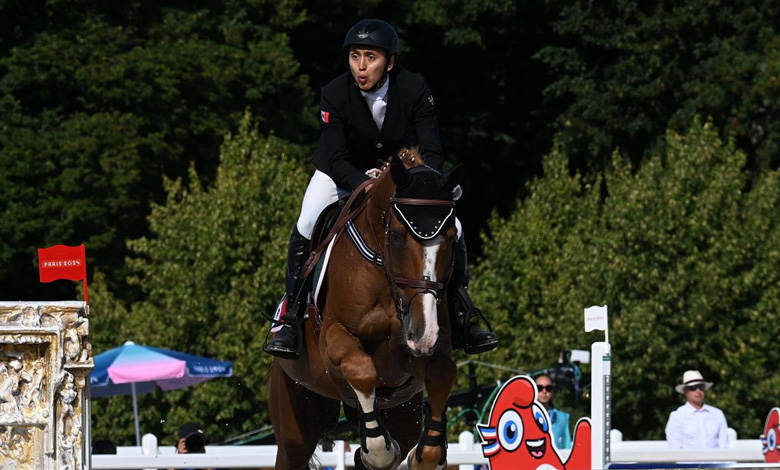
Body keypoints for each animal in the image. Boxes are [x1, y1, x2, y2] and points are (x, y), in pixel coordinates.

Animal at [268, 150, 464, 470]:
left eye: (451, 240)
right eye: (395, 235)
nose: (421, 332)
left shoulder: (428, 350)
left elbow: (442, 373)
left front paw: (429, 454)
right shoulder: (334, 338)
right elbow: (361, 369)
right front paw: (379, 450)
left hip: (402, 410)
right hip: (295, 419)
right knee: (293, 450)